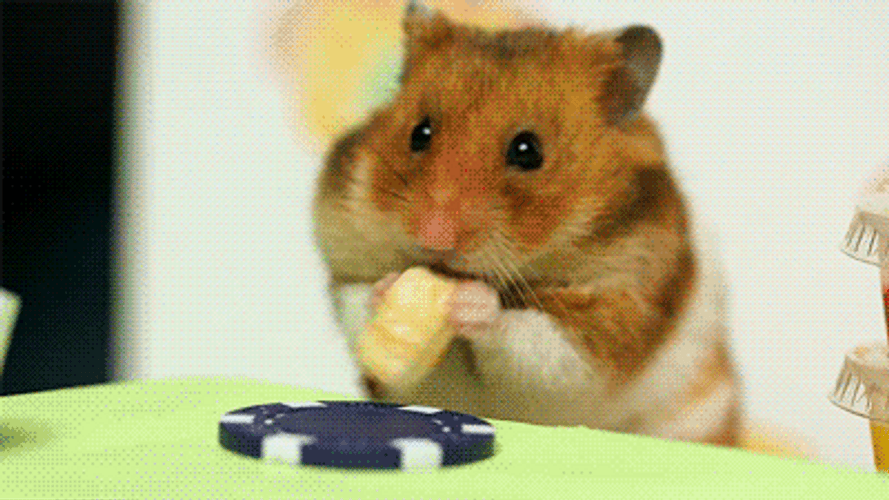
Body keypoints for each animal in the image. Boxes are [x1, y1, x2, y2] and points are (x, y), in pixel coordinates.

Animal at [311, 0, 740, 447]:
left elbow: (529, 336)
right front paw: (389, 289)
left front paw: (470, 302)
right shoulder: (345, 268)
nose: (434, 238)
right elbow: (360, 301)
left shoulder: (612, 314)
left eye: (528, 150)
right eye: (420, 133)